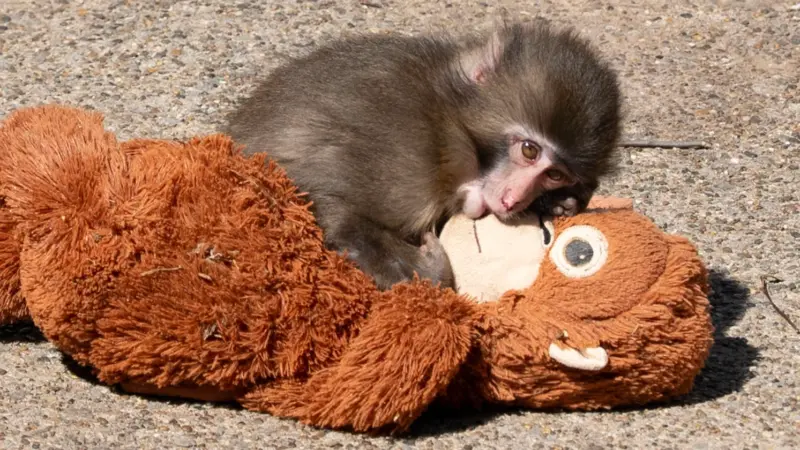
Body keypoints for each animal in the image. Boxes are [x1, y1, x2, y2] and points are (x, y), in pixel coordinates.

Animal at [223, 20, 621, 291]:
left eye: (555, 175)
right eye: (529, 150)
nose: (514, 199)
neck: (448, 121)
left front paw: (559, 202)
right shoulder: (406, 155)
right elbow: (325, 205)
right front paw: (430, 269)